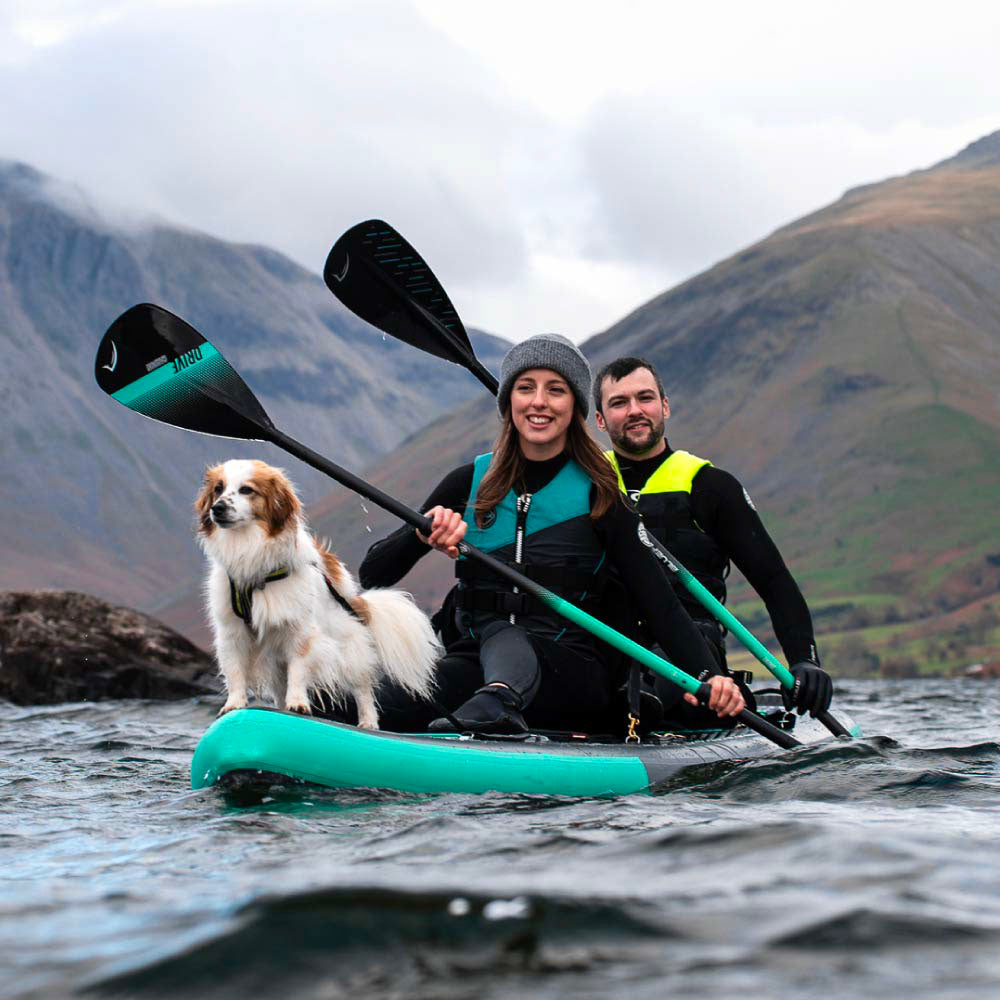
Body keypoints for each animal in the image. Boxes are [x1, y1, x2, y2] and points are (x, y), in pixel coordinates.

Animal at [197, 458, 440, 728]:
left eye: (246, 490)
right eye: (218, 489)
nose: (217, 508)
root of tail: (354, 599)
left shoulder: (300, 633)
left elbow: (298, 670)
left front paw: (298, 703)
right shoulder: (232, 633)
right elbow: (235, 670)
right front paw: (234, 704)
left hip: (349, 652)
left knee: (363, 690)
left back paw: (368, 723)